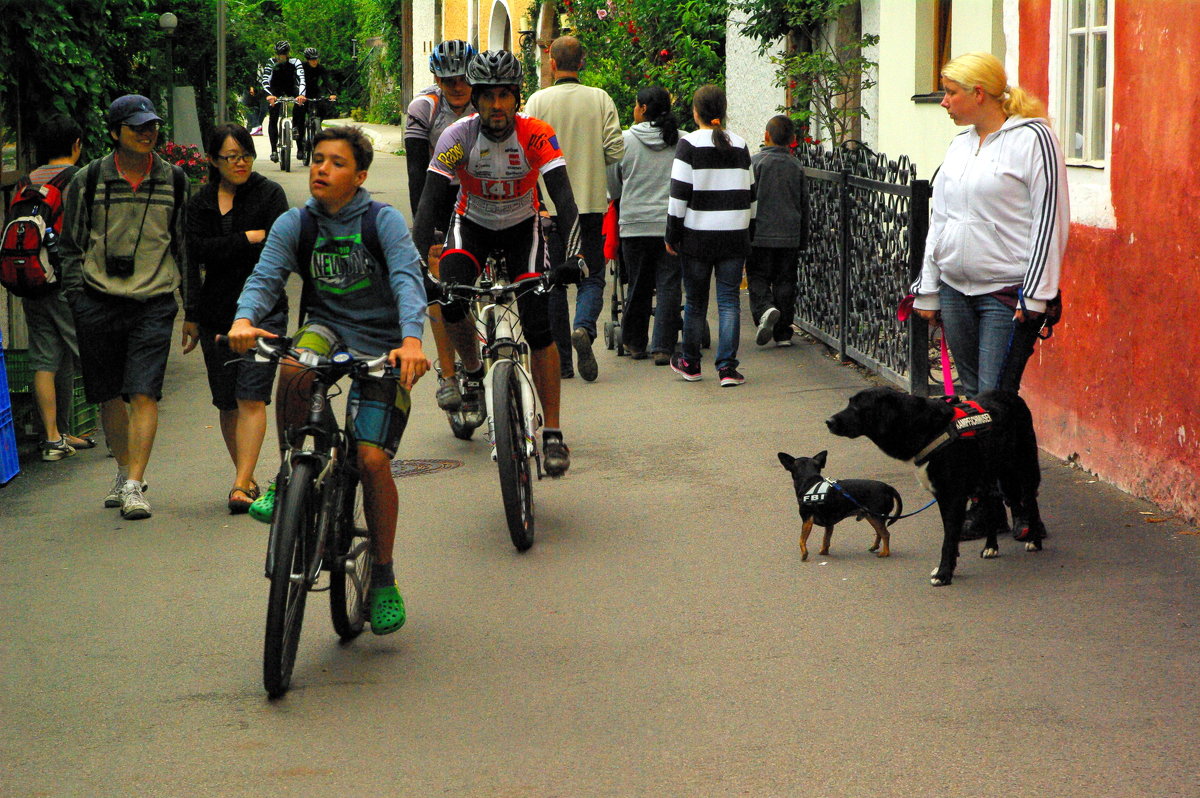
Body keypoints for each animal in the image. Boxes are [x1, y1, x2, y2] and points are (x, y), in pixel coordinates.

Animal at [825, 386, 1041, 585]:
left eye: (857, 406)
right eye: (849, 402)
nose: (828, 422)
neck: (924, 427)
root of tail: (1011, 394)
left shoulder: (953, 497)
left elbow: (949, 538)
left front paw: (944, 574)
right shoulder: (943, 496)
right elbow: (950, 535)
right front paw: (949, 567)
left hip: (1024, 468)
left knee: (1030, 502)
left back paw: (1034, 540)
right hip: (984, 478)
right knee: (991, 504)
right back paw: (991, 546)